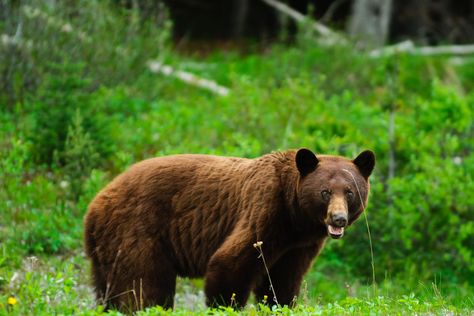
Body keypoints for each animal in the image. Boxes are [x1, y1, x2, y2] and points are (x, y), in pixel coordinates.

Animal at [84, 149, 374, 312]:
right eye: (325, 192)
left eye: (350, 192)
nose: (338, 219)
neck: (296, 218)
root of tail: (94, 206)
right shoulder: (265, 210)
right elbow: (230, 263)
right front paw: (225, 305)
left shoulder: (298, 245)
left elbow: (282, 281)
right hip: (137, 230)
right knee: (145, 287)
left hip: (108, 249)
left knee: (109, 289)